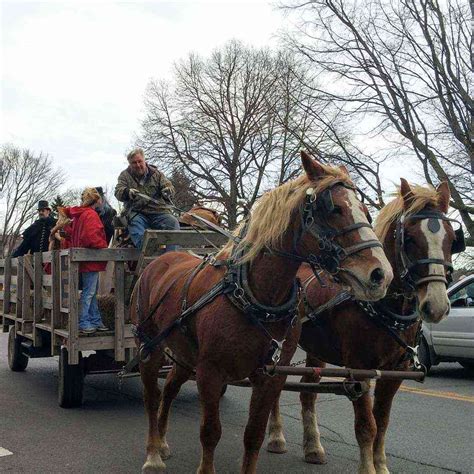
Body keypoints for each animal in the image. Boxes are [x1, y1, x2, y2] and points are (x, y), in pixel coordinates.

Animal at [130, 152, 392, 474]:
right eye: (334, 209)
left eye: (366, 211)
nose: (380, 274)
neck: (256, 295)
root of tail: (161, 258)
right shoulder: (210, 372)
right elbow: (210, 432)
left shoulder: (270, 376)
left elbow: (253, 435)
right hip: (149, 348)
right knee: (151, 397)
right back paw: (153, 454)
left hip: (184, 354)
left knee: (168, 390)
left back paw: (163, 443)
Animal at [266, 179, 466, 474]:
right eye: (409, 238)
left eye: (452, 240)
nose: (437, 305)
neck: (386, 307)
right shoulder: (359, 368)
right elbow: (366, 426)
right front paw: (368, 467)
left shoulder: (396, 371)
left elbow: (381, 421)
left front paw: (380, 465)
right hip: (285, 347)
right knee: (276, 387)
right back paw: (276, 436)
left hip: (316, 350)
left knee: (307, 391)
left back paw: (313, 446)